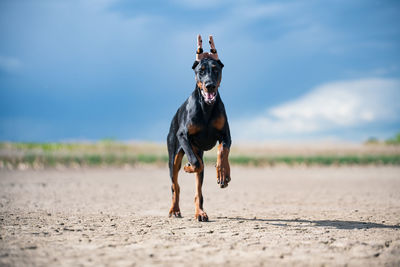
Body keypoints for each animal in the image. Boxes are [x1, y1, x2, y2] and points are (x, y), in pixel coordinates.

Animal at [166, 34, 231, 222]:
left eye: (215, 69)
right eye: (200, 70)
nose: (209, 85)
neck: (206, 108)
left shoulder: (226, 135)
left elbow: (222, 151)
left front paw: (223, 173)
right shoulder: (183, 135)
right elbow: (195, 163)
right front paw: (189, 166)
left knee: (198, 189)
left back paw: (200, 212)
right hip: (173, 156)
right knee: (175, 185)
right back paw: (175, 209)